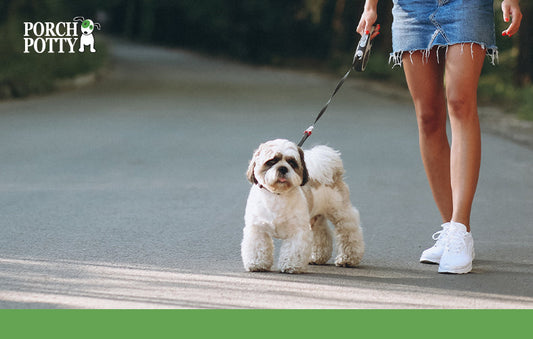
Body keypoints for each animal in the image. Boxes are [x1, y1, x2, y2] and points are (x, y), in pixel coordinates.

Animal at [242, 139, 364, 274]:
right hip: (315, 218)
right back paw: (318, 257)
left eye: (292, 162)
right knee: (321, 233)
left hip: (340, 212)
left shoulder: (297, 230)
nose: (283, 168)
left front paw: (291, 266)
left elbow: (294, 250)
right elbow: (258, 247)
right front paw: (257, 264)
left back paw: (348, 258)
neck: (278, 195)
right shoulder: (257, 229)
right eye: (272, 161)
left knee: (349, 232)